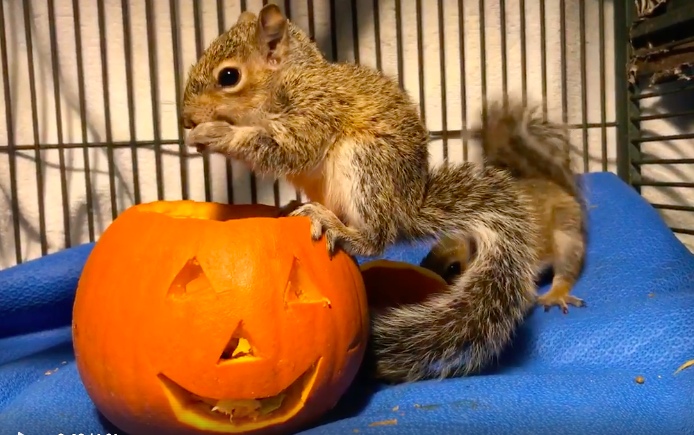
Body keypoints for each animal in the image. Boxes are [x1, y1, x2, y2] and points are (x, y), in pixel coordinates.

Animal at [181, 4, 543, 383]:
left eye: (229, 76)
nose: (186, 119)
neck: (288, 81)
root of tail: (408, 207)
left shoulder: (316, 110)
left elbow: (290, 150)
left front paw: (218, 135)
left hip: (365, 164)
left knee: (377, 238)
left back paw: (335, 226)